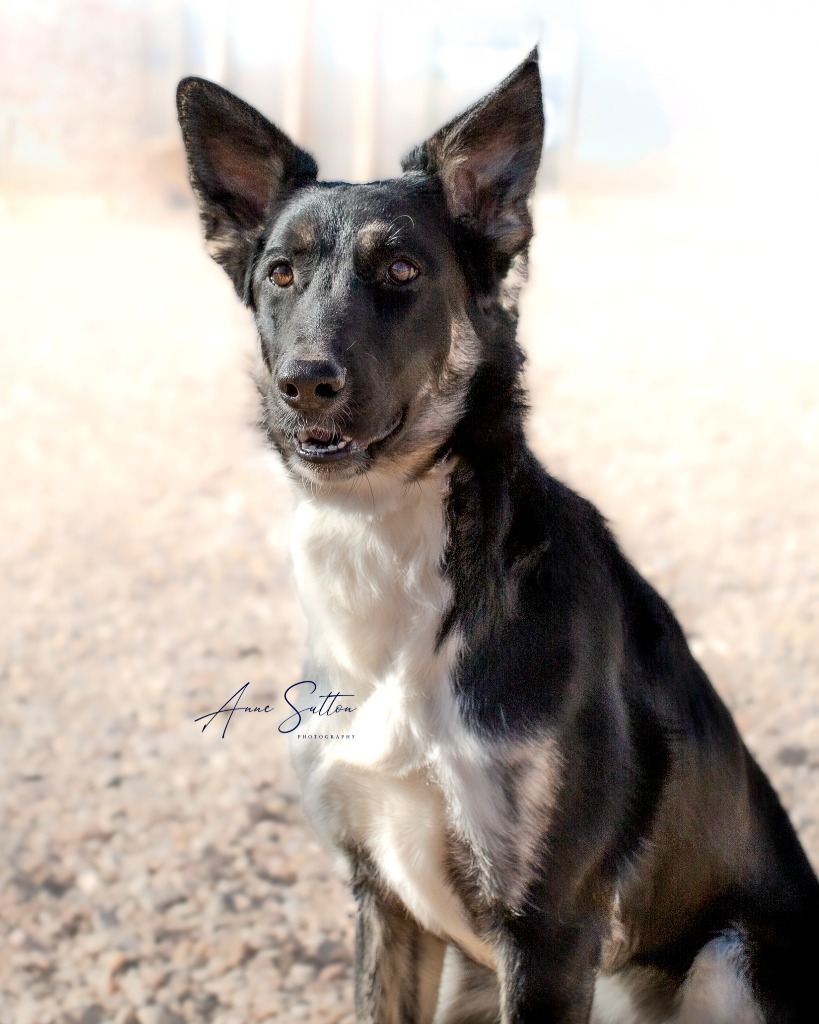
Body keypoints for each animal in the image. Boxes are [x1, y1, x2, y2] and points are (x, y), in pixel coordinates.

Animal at [179, 51, 818, 1024]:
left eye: (403, 269)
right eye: (281, 274)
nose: (304, 383)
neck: (390, 542)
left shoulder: (549, 926)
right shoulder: (386, 901)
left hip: (730, 954)